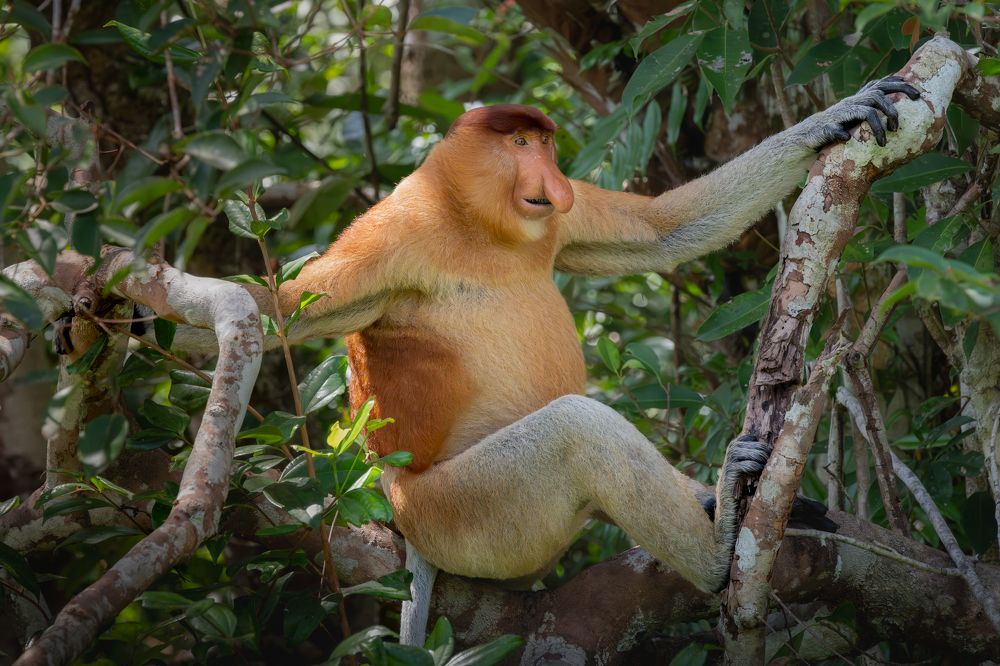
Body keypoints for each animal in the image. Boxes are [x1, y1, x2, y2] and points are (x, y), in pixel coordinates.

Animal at [166, 77, 919, 643]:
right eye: (519, 143)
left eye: (545, 146)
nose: (554, 182)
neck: (477, 226)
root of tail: (401, 515)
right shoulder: (389, 238)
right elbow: (279, 310)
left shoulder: (559, 220)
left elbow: (662, 231)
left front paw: (834, 117)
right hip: (457, 515)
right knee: (574, 433)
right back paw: (720, 542)